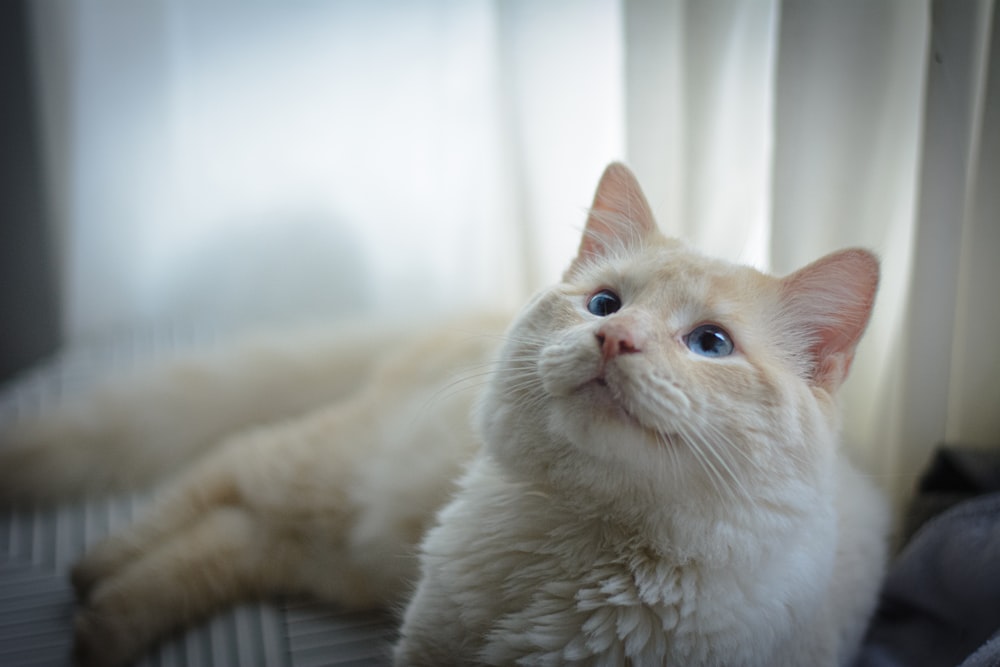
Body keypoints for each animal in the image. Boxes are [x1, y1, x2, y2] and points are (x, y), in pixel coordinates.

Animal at [1, 163, 892, 667]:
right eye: (605, 303)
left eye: (711, 343)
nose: (615, 338)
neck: (586, 552)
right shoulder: (426, 645)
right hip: (338, 479)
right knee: (225, 468)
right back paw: (94, 576)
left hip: (341, 551)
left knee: (230, 539)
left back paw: (105, 622)